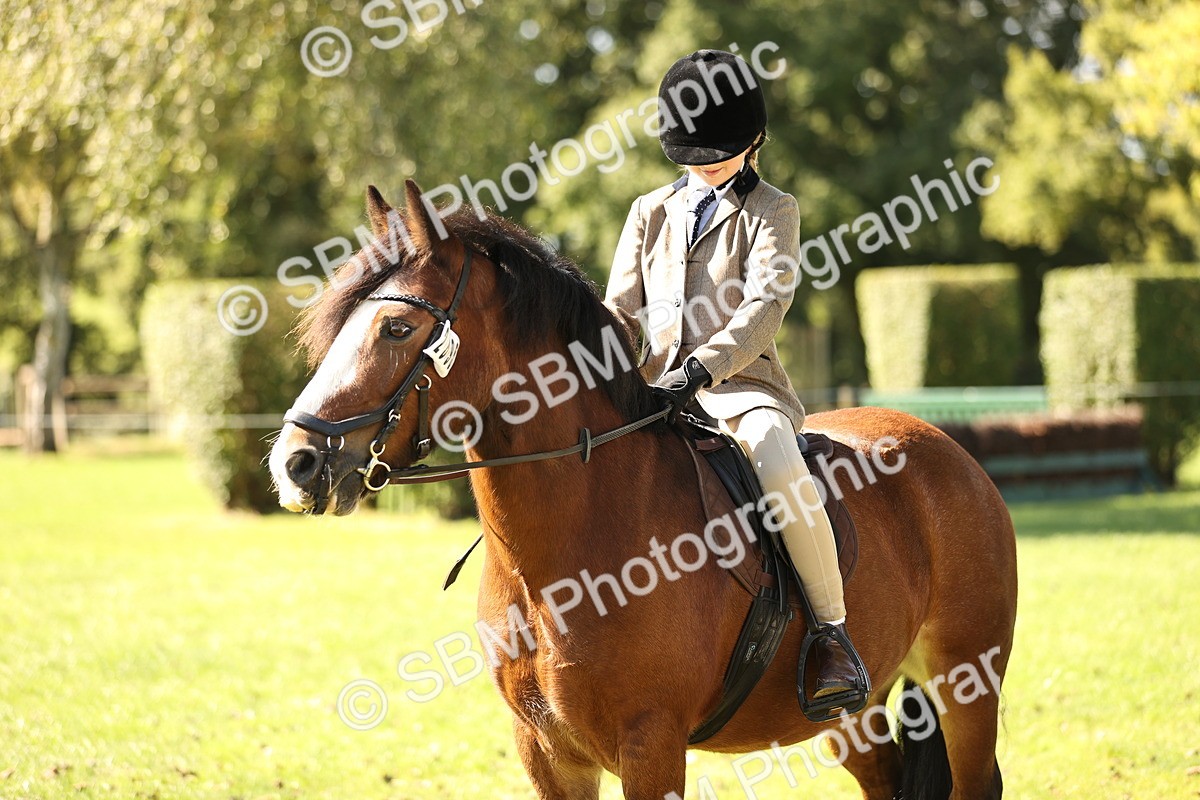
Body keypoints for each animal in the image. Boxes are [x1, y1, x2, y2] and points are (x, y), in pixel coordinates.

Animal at [269, 180, 1017, 800]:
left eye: (397, 328)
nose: (295, 463)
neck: (563, 552)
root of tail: (948, 450)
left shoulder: (650, 742)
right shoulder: (547, 752)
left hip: (966, 683)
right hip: (856, 715)